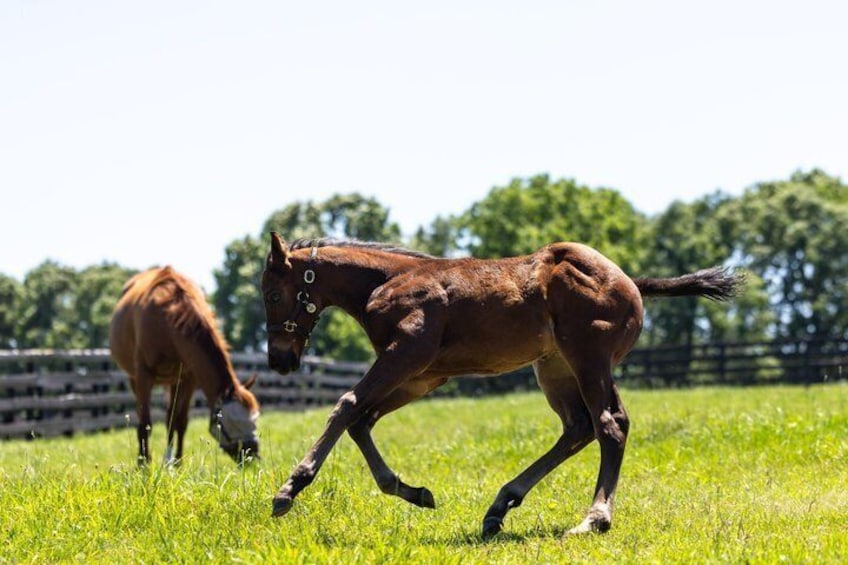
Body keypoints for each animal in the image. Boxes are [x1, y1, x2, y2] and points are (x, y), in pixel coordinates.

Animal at [109, 265, 260, 465]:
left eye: (254, 420)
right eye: (230, 424)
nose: (253, 456)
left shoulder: (189, 378)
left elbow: (180, 422)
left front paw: (176, 463)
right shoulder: (144, 374)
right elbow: (145, 423)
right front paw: (144, 463)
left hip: (173, 380)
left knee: (170, 417)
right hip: (135, 378)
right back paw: (143, 458)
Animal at [260, 233, 742, 537]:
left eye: (271, 294)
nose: (279, 360)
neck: (386, 282)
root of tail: (631, 281)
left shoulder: (405, 356)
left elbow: (346, 404)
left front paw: (289, 489)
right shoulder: (425, 375)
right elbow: (362, 420)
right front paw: (413, 492)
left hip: (589, 360)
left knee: (609, 424)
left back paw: (594, 518)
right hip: (556, 369)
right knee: (579, 427)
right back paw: (500, 507)